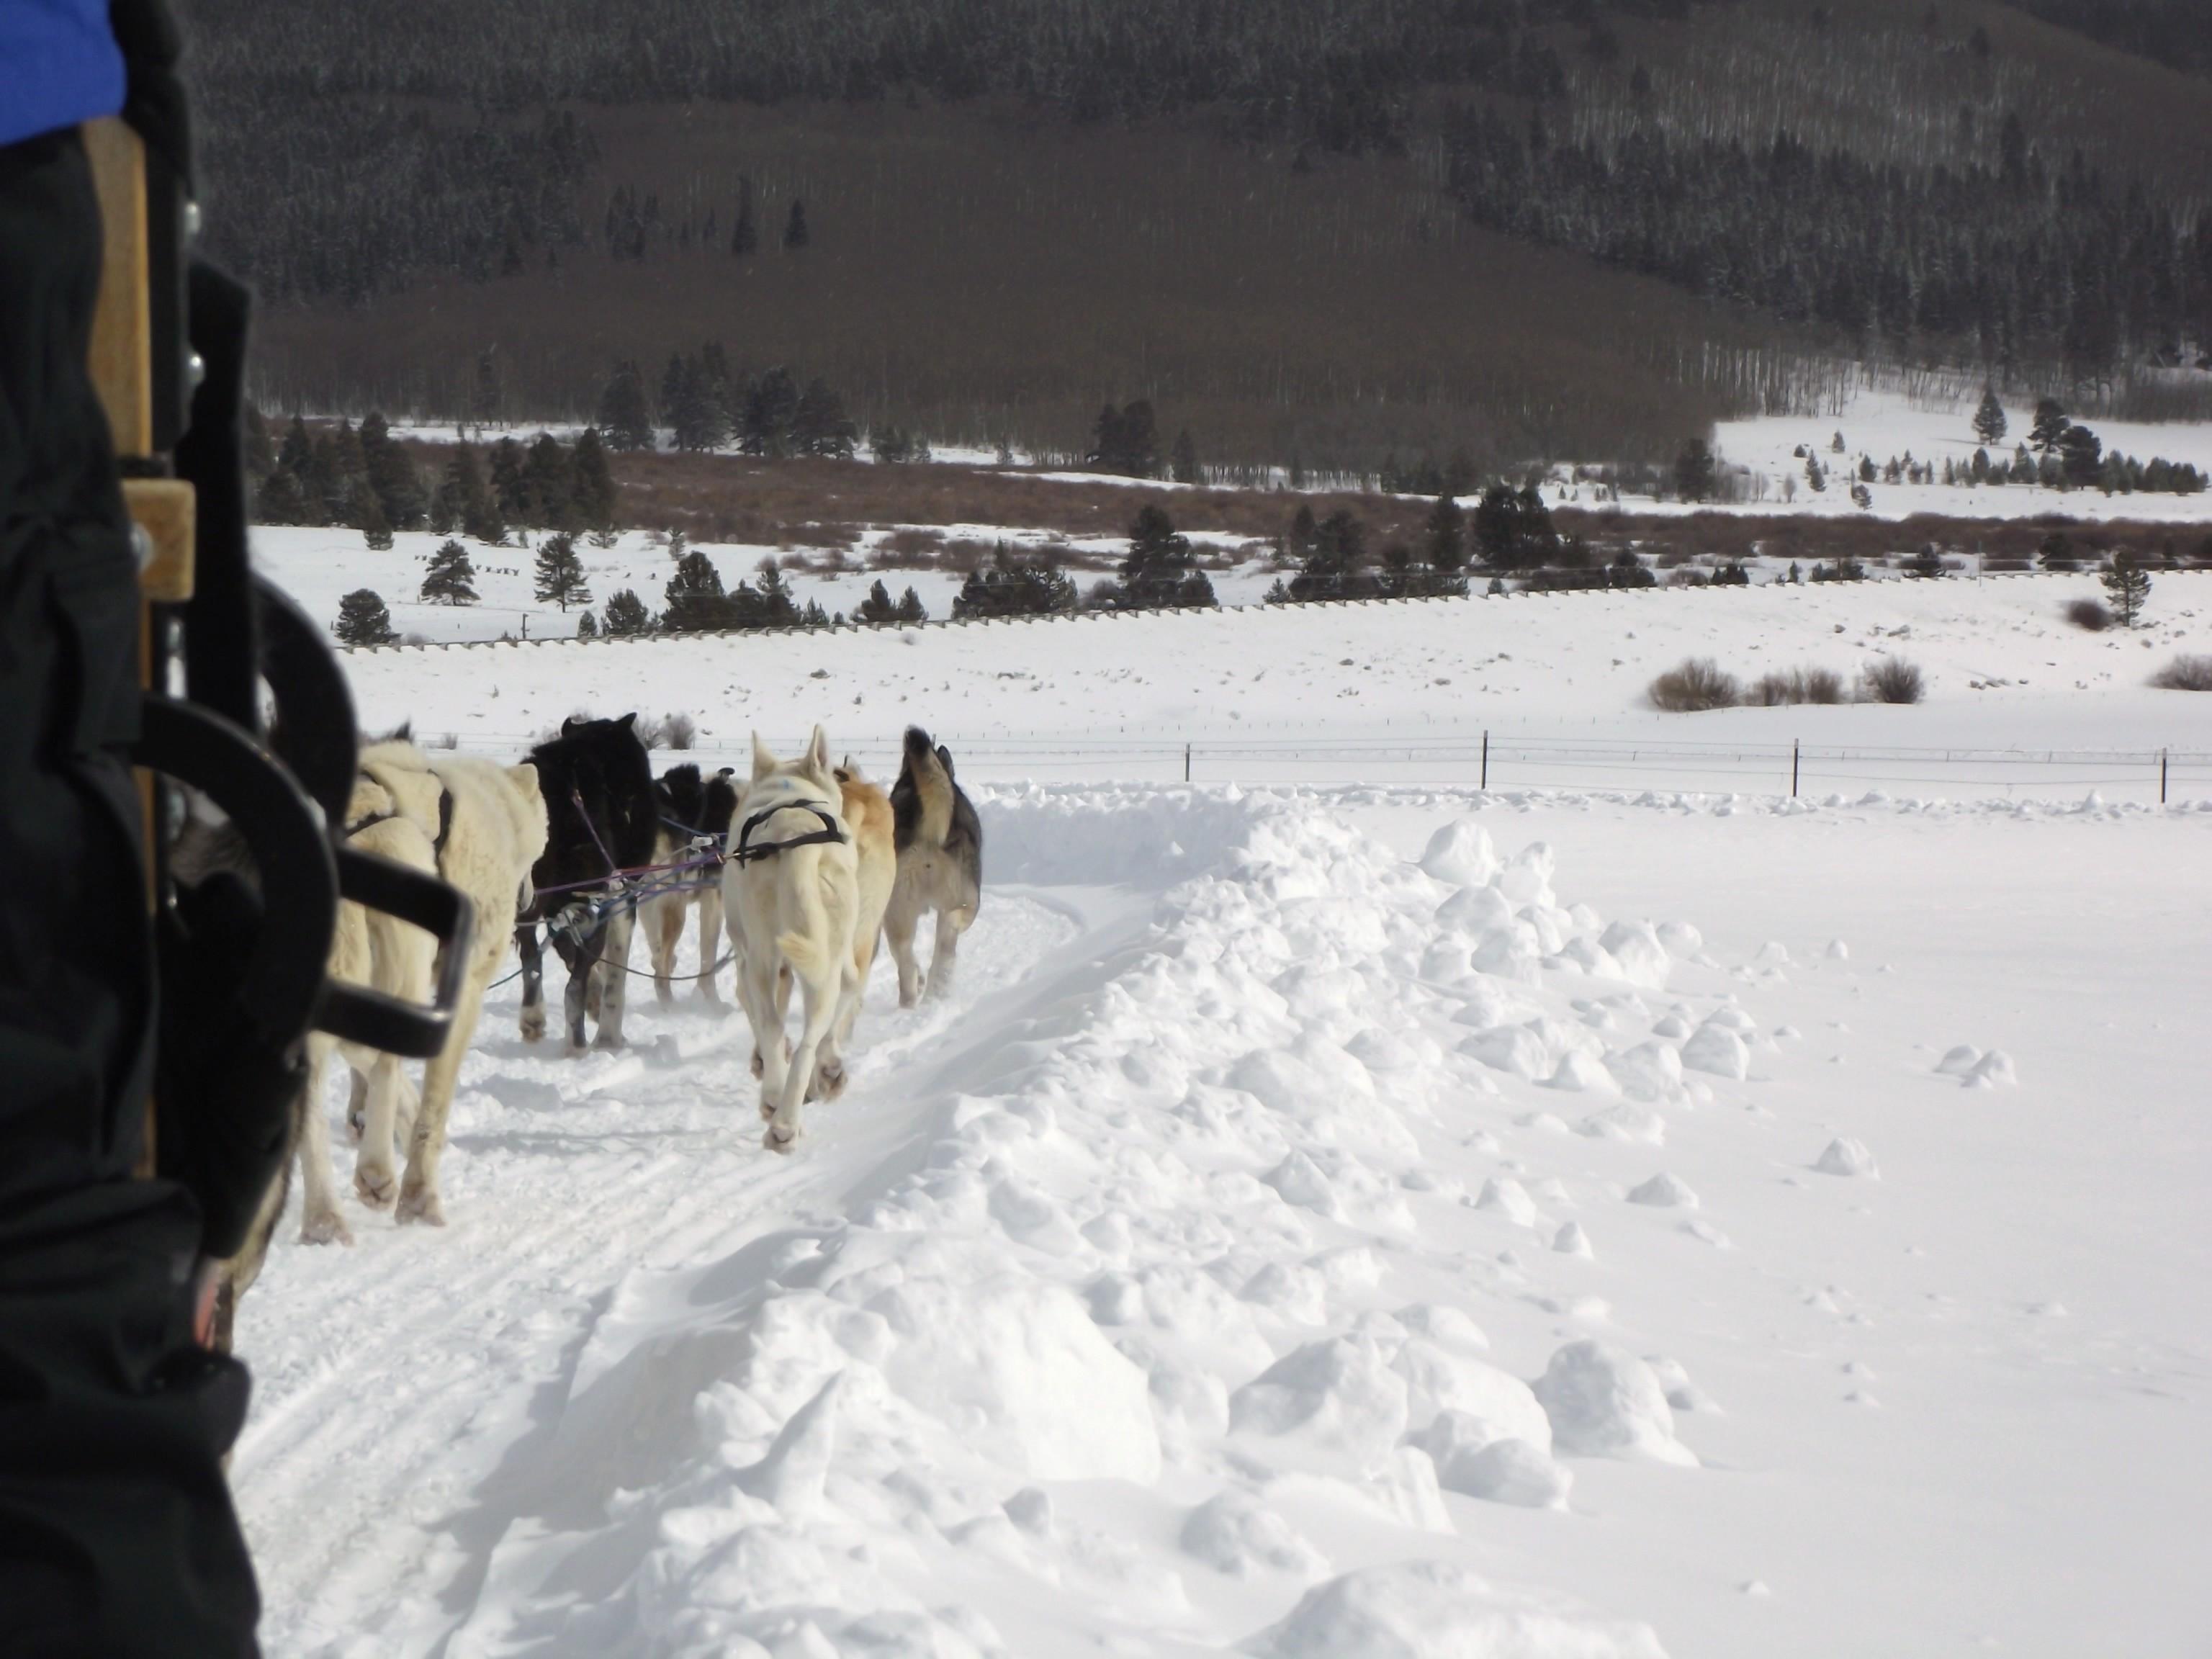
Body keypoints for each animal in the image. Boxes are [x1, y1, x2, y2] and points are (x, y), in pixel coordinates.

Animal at [296, 747, 546, 1238]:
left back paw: (323, 1217)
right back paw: (377, 1172)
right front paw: (419, 1192)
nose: (529, 898)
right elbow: (432, 1101)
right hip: (403, 967)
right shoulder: (464, 988)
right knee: (388, 1061)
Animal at [729, 729, 894, 1159]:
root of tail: (793, 840)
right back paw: (797, 1110)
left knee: (772, 1025)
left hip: (764, 957)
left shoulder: (747, 956)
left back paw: (776, 1105)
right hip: (833, 950)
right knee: (818, 1029)